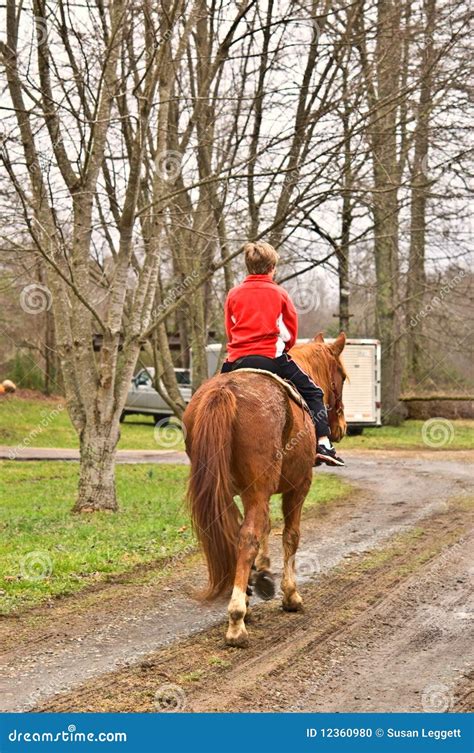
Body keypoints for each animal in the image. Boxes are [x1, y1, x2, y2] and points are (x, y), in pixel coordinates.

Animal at [183, 332, 346, 644]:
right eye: (343, 377)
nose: (341, 427)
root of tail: (226, 390)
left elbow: (266, 529)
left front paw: (262, 574)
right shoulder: (298, 487)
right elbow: (291, 536)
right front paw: (290, 595)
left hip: (226, 490)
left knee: (236, 533)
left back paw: (244, 598)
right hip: (259, 490)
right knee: (247, 537)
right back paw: (236, 619)